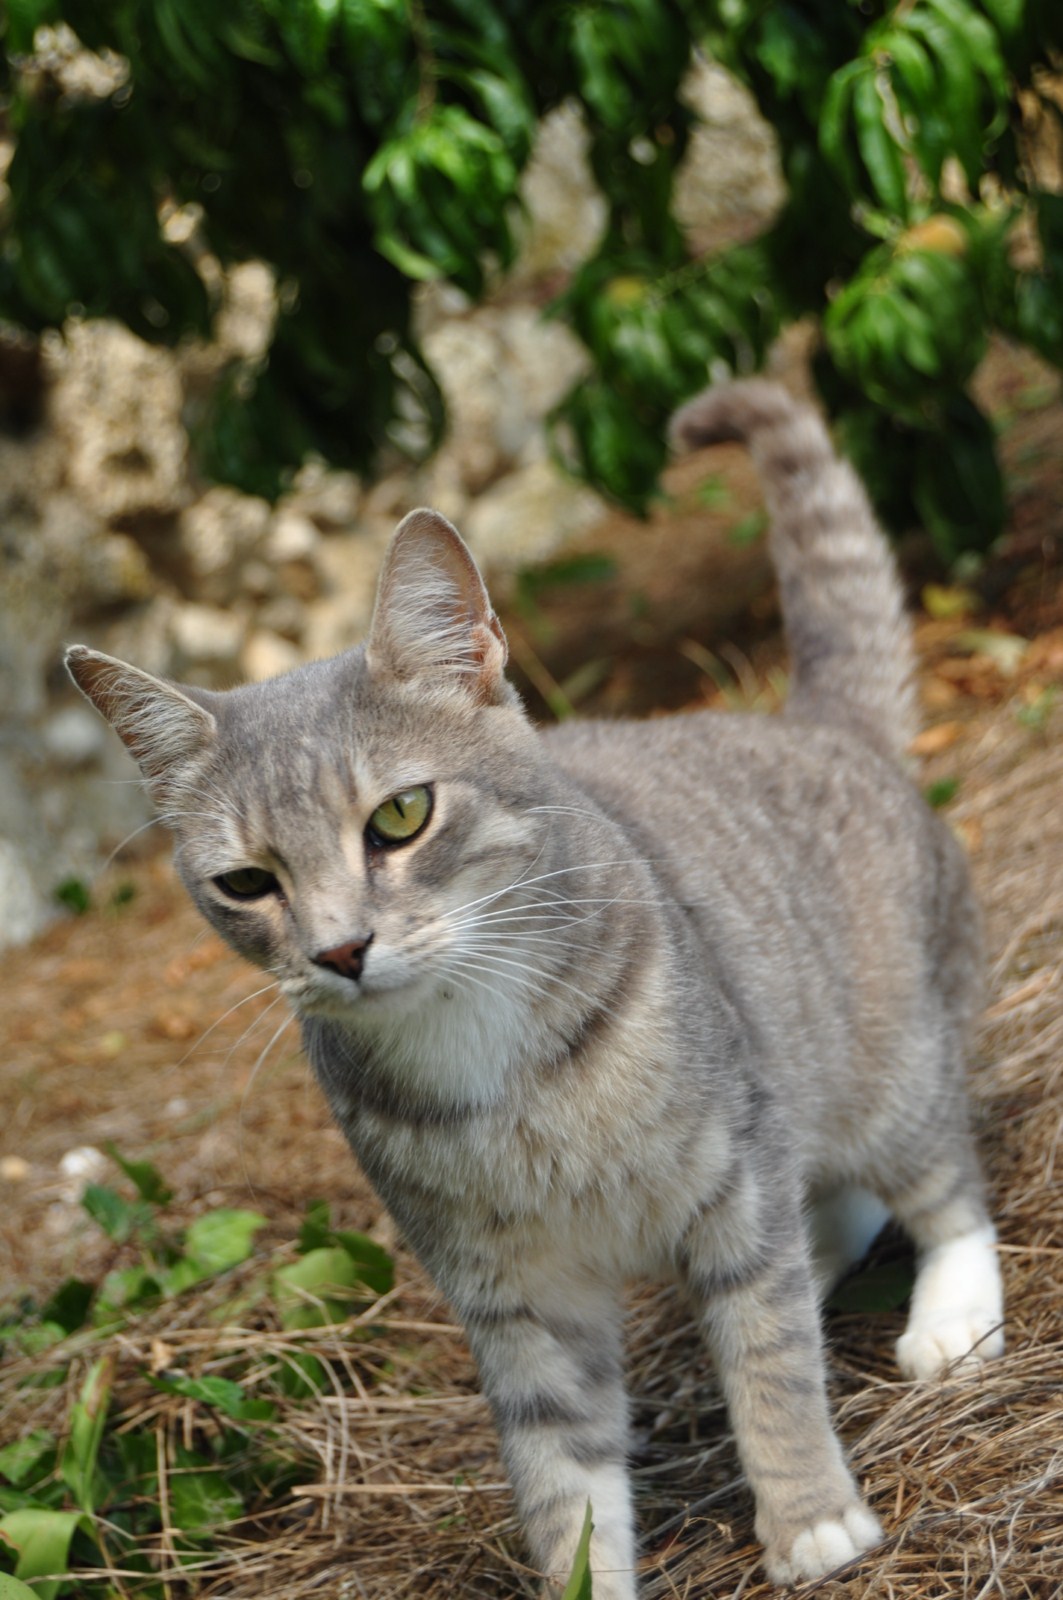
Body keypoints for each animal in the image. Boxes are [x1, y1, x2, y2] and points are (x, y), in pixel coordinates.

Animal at [66, 380, 1005, 1593]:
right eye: (246, 882)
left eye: (401, 816)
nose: (339, 950)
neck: (484, 1046)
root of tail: (815, 722)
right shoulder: (516, 1301)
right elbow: (563, 1478)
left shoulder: (732, 1176)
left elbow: (769, 1356)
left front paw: (809, 1519)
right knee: (834, 1201)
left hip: (884, 1067)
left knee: (939, 1187)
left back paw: (951, 1314)